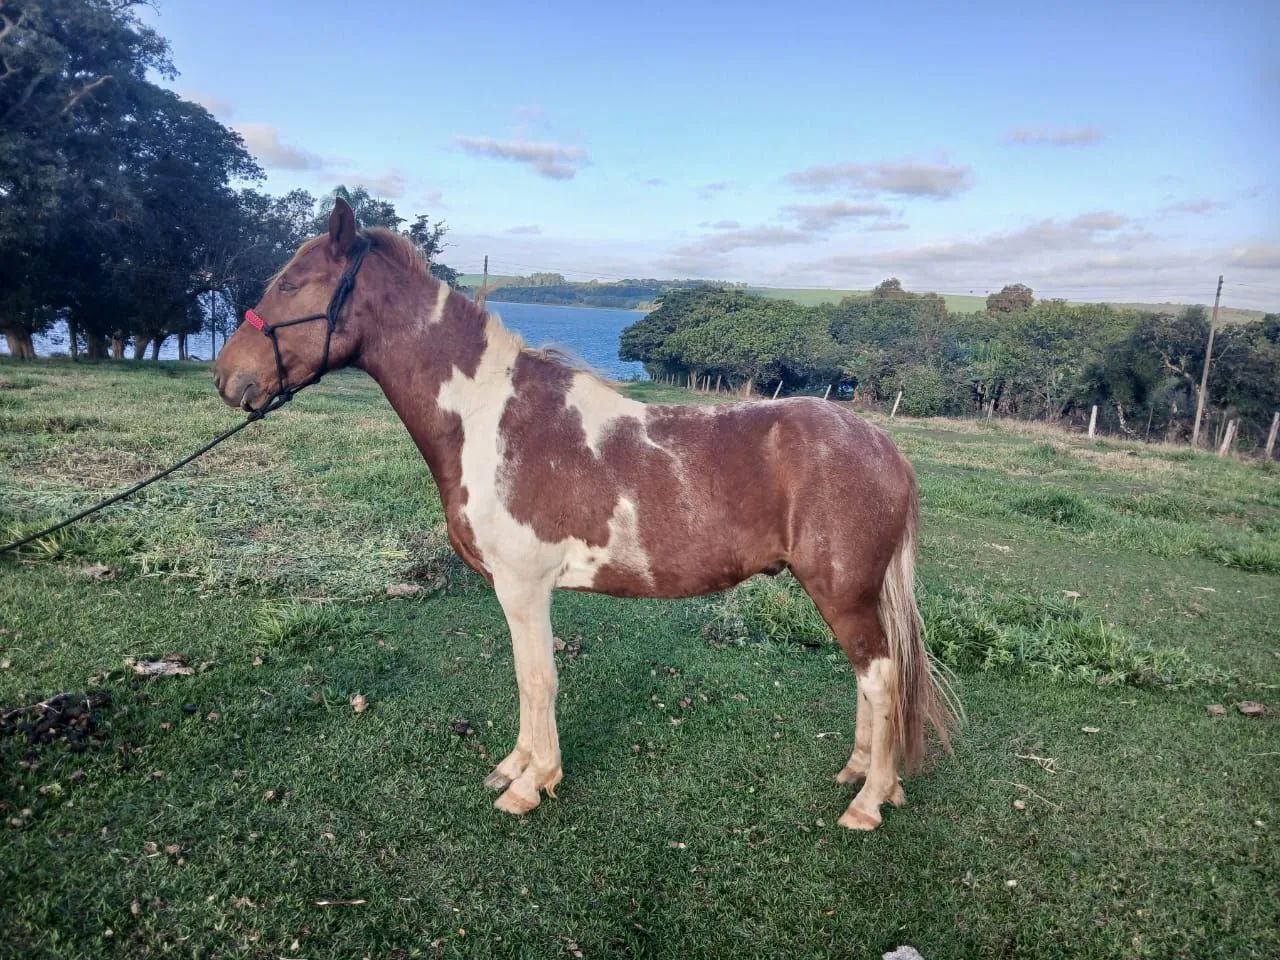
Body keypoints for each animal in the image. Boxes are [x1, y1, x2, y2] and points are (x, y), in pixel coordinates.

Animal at [213, 198, 958, 830]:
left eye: (291, 285)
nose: (227, 376)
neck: (492, 420)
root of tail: (885, 449)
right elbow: (525, 680)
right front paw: (514, 766)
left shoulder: (524, 585)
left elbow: (538, 679)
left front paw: (531, 784)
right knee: (869, 680)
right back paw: (860, 774)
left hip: (842, 591)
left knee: (881, 679)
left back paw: (869, 802)